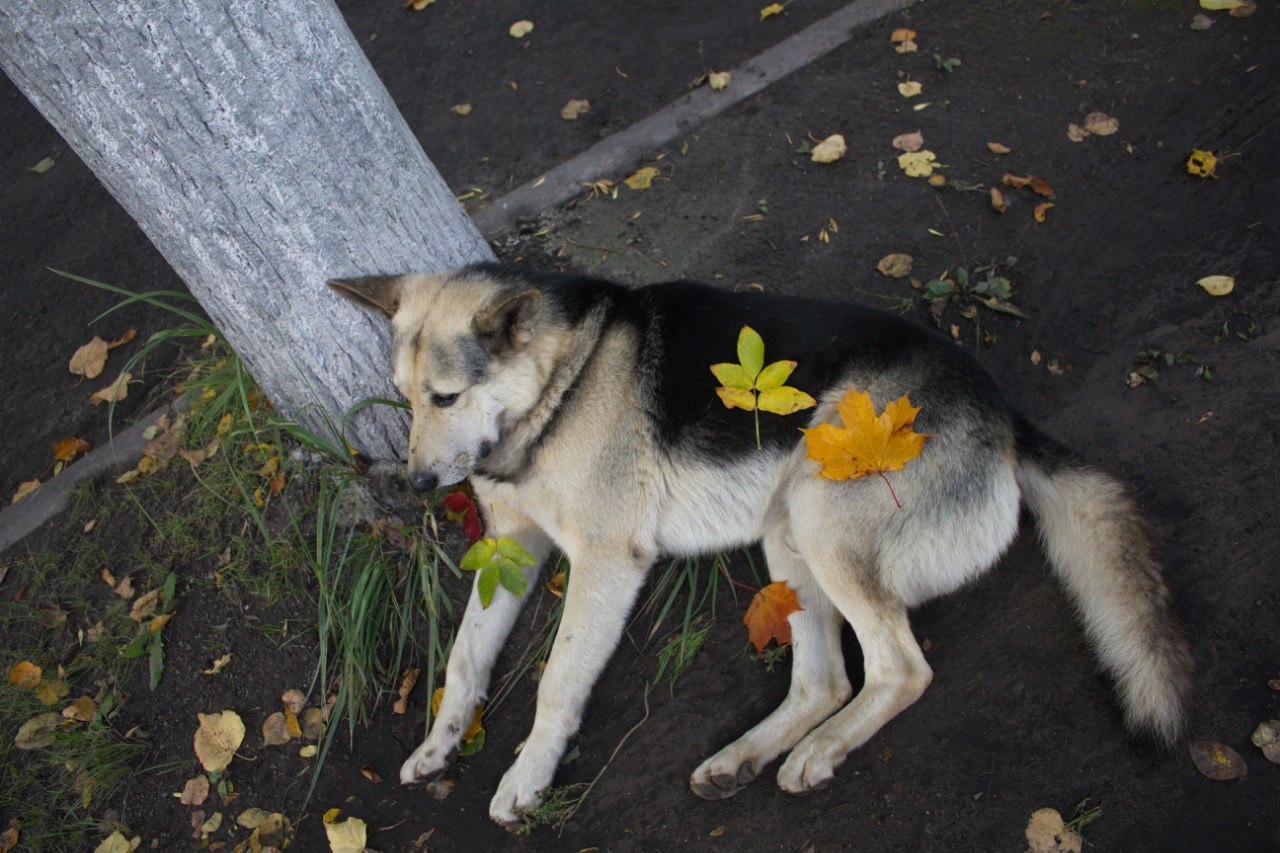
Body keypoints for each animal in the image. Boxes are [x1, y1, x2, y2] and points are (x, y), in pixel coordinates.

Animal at [327, 263, 1187, 824]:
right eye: (403, 401)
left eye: (446, 397)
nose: (416, 483)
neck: (556, 386)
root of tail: (1006, 415)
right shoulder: (512, 550)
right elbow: (465, 658)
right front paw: (439, 745)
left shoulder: (604, 562)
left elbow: (556, 681)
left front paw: (526, 776)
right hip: (786, 537)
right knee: (825, 682)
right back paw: (742, 757)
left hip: (818, 513)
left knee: (898, 668)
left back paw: (818, 752)